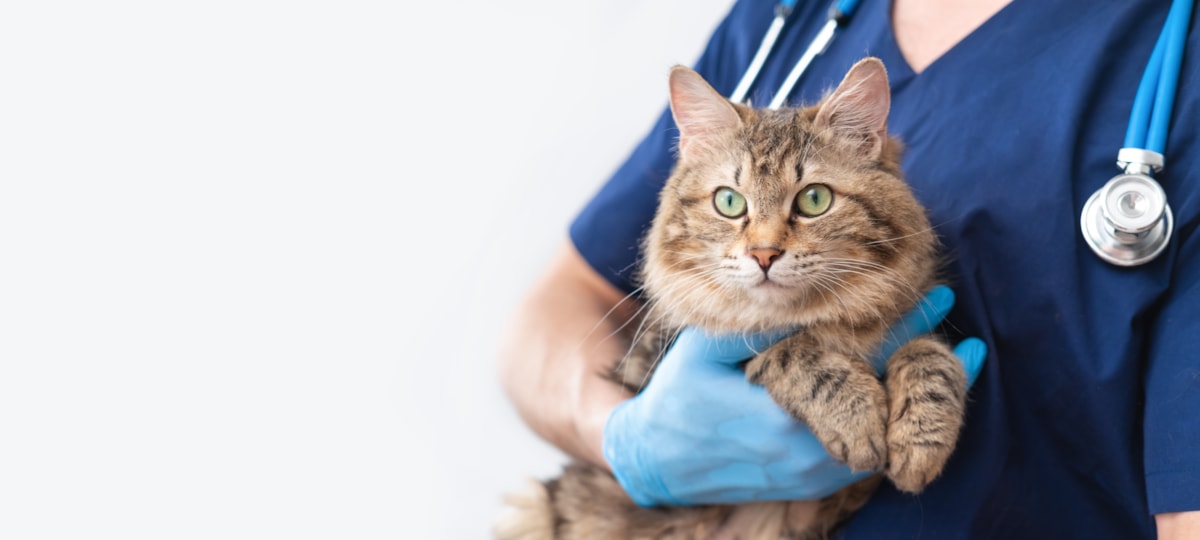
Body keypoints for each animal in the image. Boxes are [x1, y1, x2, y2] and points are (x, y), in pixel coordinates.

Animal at [492, 57, 969, 540]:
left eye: (814, 199)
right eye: (729, 202)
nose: (764, 254)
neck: (821, 318)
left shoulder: (915, 314)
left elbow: (930, 354)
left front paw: (921, 440)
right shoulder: (671, 357)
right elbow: (790, 352)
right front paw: (858, 417)